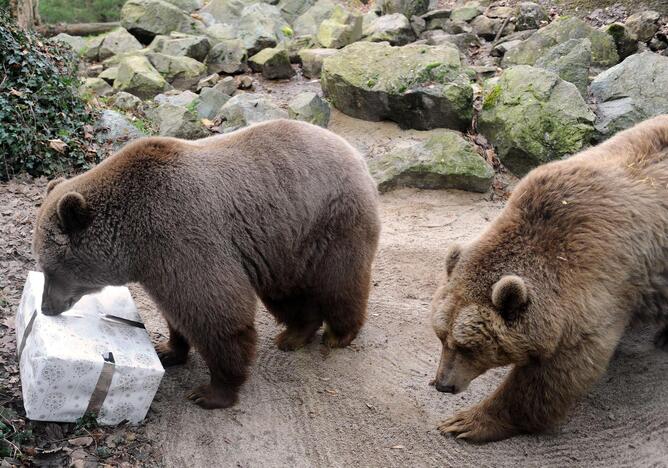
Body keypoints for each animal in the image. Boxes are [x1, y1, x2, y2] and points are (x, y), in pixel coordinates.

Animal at [32, 118, 380, 410]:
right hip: (284, 242)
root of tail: (354, 153)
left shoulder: (182, 236)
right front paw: (168, 349)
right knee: (287, 293)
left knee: (339, 282)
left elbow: (215, 313)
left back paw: (339, 334)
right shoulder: (160, 264)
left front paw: (211, 391)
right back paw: (294, 335)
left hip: (331, 221)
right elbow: (177, 311)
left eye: (50, 267)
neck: (135, 242)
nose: (46, 306)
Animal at [430, 114, 664, 442]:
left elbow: (552, 377)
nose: (443, 384)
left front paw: (468, 421)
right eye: (441, 336)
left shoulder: (595, 289)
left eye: (468, 347)